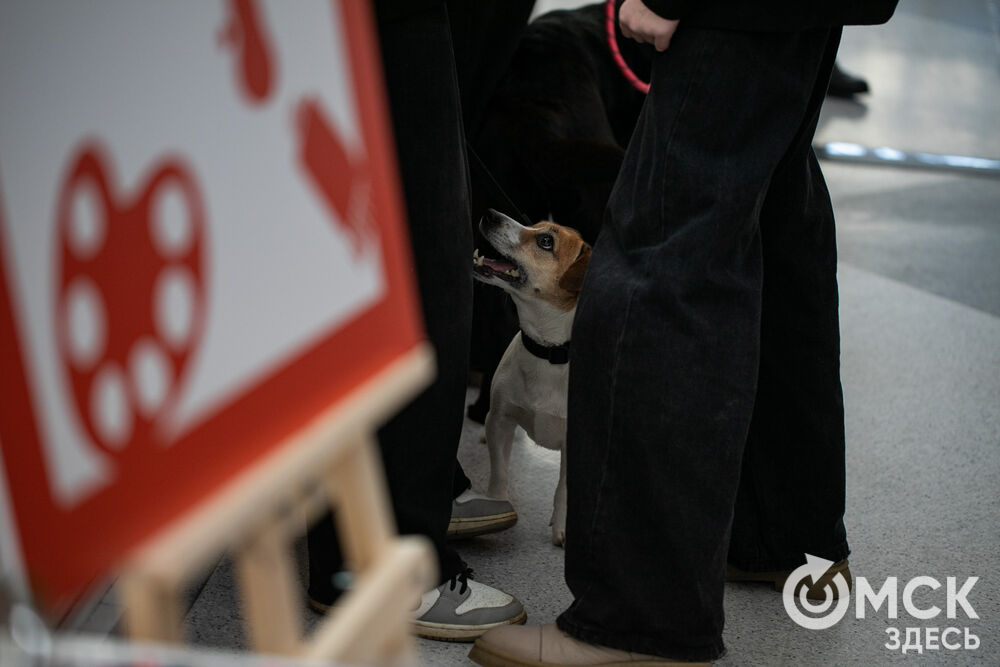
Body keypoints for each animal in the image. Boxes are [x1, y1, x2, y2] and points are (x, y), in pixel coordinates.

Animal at [472, 210, 588, 548]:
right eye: (534, 225)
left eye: (546, 241)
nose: (490, 214)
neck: (547, 351)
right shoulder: (500, 419)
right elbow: (500, 472)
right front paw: (495, 508)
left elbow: (564, 490)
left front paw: (561, 528)